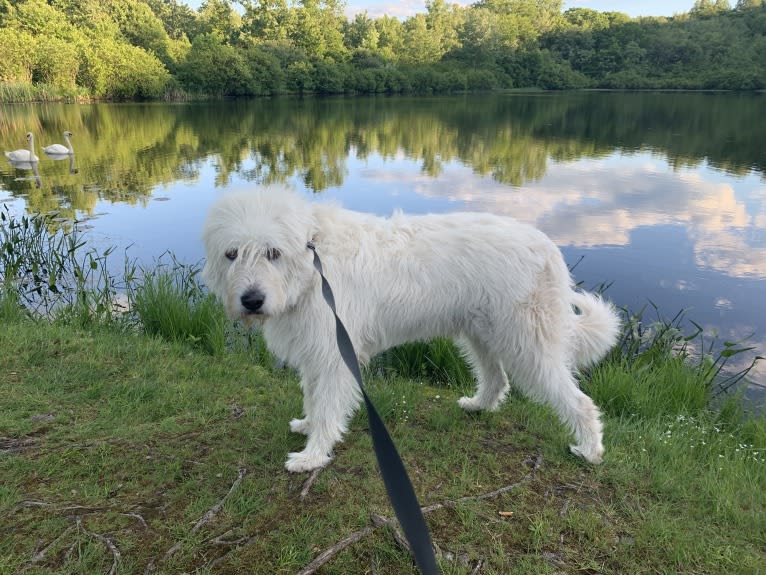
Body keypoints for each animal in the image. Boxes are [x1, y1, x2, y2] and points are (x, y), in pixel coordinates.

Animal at [201, 190, 620, 472]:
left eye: (273, 253)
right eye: (232, 254)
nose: (252, 300)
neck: (313, 262)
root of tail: (548, 246)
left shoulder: (335, 356)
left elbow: (328, 405)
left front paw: (313, 456)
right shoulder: (317, 353)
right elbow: (314, 397)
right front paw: (307, 426)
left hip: (527, 345)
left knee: (579, 401)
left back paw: (590, 450)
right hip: (481, 334)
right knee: (497, 380)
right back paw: (478, 406)